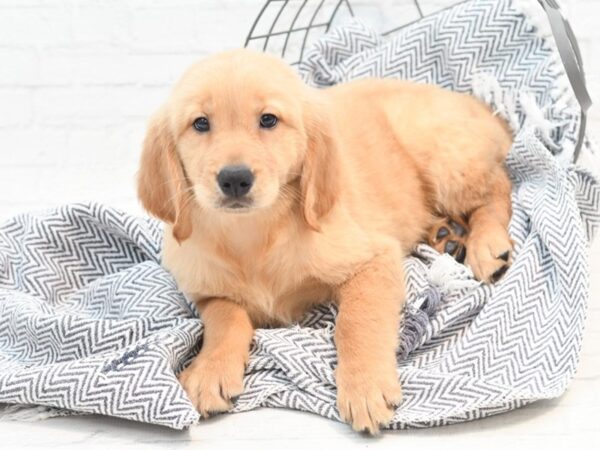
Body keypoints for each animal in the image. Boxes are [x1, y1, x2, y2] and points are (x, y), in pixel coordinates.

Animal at [136, 48, 510, 432]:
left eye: (268, 120)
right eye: (200, 124)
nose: (235, 179)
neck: (254, 235)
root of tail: (473, 102)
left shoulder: (373, 258)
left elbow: (356, 320)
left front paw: (365, 386)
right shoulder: (206, 291)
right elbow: (225, 319)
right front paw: (210, 370)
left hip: (442, 158)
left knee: (498, 186)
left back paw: (486, 246)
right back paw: (445, 235)